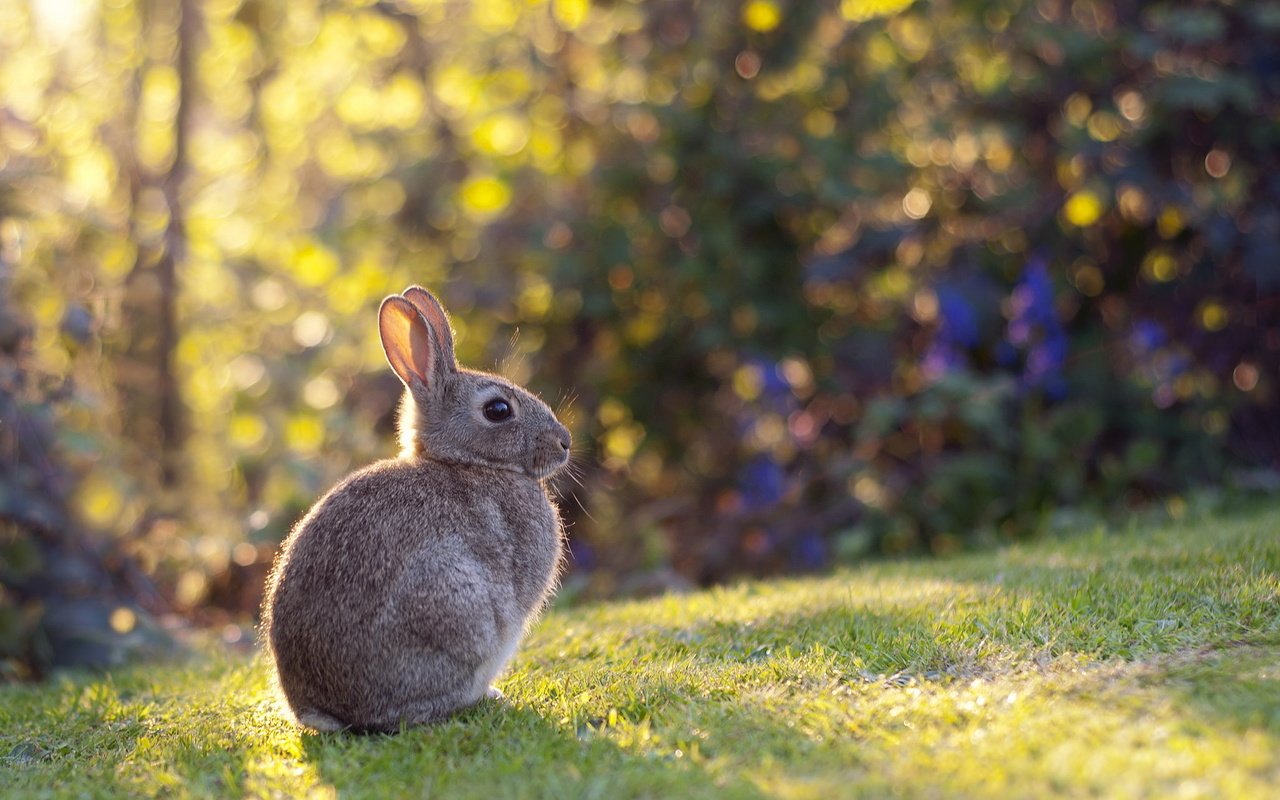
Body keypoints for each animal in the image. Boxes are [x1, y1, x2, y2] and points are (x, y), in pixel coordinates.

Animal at [262, 285, 573, 732]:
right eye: (498, 410)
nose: (565, 442)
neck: (466, 462)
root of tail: (325, 710)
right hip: (455, 604)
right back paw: (484, 697)